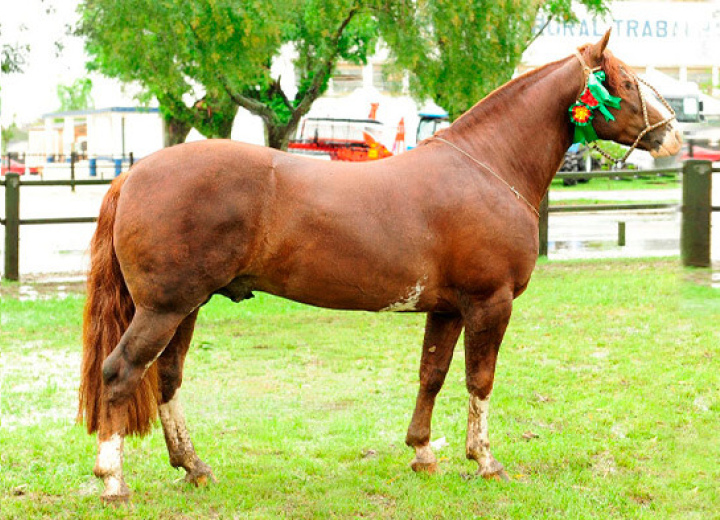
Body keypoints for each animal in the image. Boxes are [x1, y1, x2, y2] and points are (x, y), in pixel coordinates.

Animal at [79, 30, 680, 502]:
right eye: (625, 82)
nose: (673, 134)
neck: (488, 167)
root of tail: (134, 174)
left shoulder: (448, 308)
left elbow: (433, 374)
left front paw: (423, 453)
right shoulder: (490, 303)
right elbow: (479, 380)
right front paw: (485, 461)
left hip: (185, 308)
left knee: (167, 379)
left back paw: (194, 467)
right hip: (163, 308)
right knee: (120, 372)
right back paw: (113, 481)